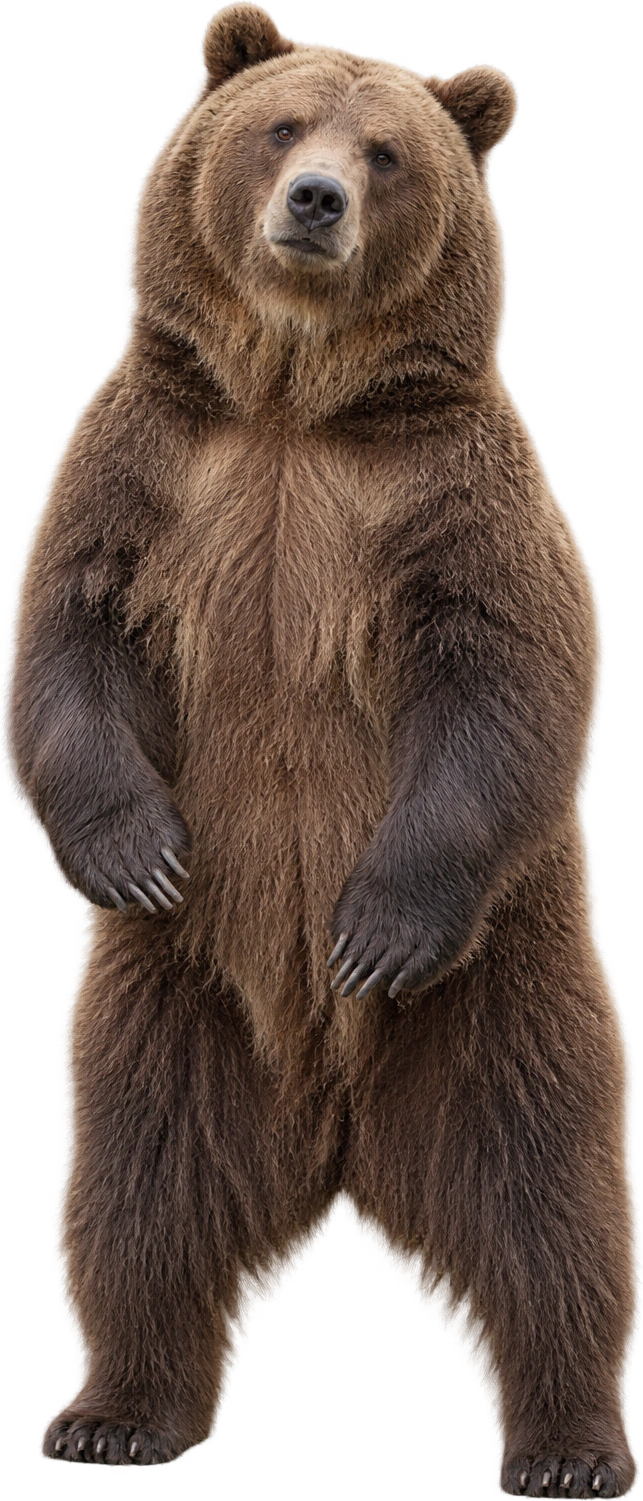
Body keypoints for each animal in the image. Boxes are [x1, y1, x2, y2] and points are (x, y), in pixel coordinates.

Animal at [9, 4, 637, 1495]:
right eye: (282, 125)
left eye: (386, 151)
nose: (313, 201)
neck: (294, 402)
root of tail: (333, 1127)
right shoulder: (153, 468)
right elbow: (70, 630)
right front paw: (131, 847)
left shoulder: (441, 492)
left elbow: (507, 669)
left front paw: (375, 928)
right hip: (174, 1004)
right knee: (137, 1195)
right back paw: (111, 1410)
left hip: (498, 989)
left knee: (549, 1204)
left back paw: (567, 1439)